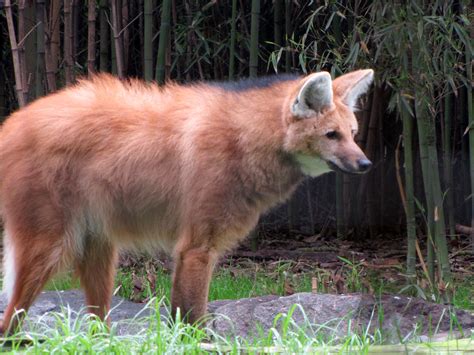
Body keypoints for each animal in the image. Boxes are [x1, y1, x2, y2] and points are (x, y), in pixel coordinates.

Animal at [0, 69, 374, 334]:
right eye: (331, 135)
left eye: (353, 133)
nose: (365, 164)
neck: (246, 140)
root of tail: (12, 122)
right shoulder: (196, 247)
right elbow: (192, 321)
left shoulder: (194, 248)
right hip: (49, 247)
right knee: (9, 322)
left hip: (98, 246)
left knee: (97, 326)